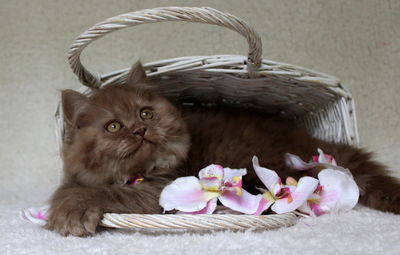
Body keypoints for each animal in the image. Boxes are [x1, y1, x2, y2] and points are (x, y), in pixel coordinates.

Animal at [45, 61, 400, 237]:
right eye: (113, 127)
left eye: (145, 113)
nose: (140, 130)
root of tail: (307, 138)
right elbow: (74, 186)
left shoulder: (160, 188)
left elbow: (102, 192)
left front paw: (69, 211)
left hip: (272, 167)